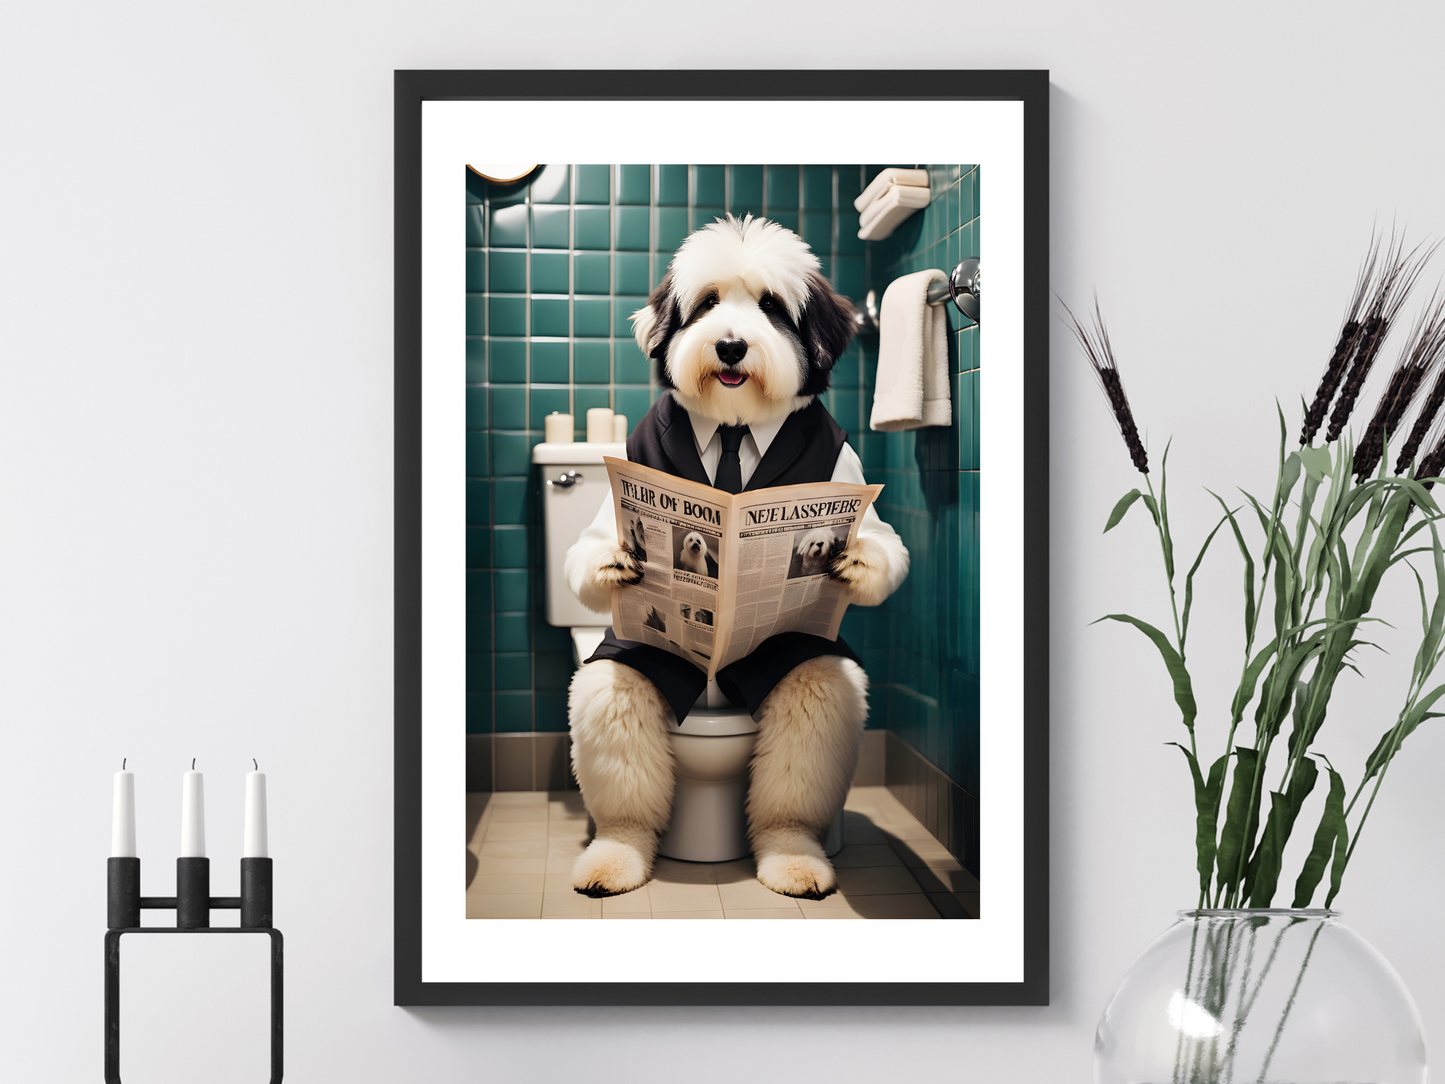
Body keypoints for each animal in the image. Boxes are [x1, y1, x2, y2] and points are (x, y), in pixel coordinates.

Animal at [560, 212, 907, 901]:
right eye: (708, 303)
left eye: (772, 307)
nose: (728, 347)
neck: (732, 423)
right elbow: (587, 545)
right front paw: (615, 558)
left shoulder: (847, 471)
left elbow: (886, 541)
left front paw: (857, 560)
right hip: (634, 670)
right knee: (616, 706)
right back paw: (615, 856)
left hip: (796, 672)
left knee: (810, 716)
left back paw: (794, 857)